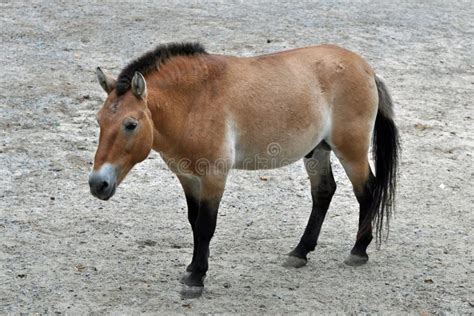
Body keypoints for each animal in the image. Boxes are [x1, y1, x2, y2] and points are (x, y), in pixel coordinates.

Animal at [90, 42, 400, 298]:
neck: (194, 101)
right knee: (324, 192)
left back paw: (358, 251)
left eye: (130, 124)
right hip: (318, 151)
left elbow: (205, 226)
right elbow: (193, 222)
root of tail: (366, 68)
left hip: (351, 151)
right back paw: (300, 252)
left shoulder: (213, 176)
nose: (97, 184)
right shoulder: (187, 177)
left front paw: (196, 279)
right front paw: (191, 269)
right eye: (99, 120)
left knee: (367, 192)